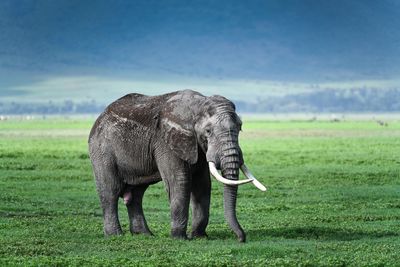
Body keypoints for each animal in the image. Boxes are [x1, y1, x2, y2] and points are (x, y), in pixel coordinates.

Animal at [88, 90, 266, 243]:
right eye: (208, 131)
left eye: (240, 127)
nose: (241, 238)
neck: (198, 104)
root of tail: (99, 117)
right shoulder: (166, 141)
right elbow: (180, 181)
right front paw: (180, 238)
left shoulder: (196, 146)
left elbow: (202, 184)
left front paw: (199, 237)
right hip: (101, 150)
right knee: (110, 191)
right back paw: (115, 235)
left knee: (137, 194)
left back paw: (144, 235)